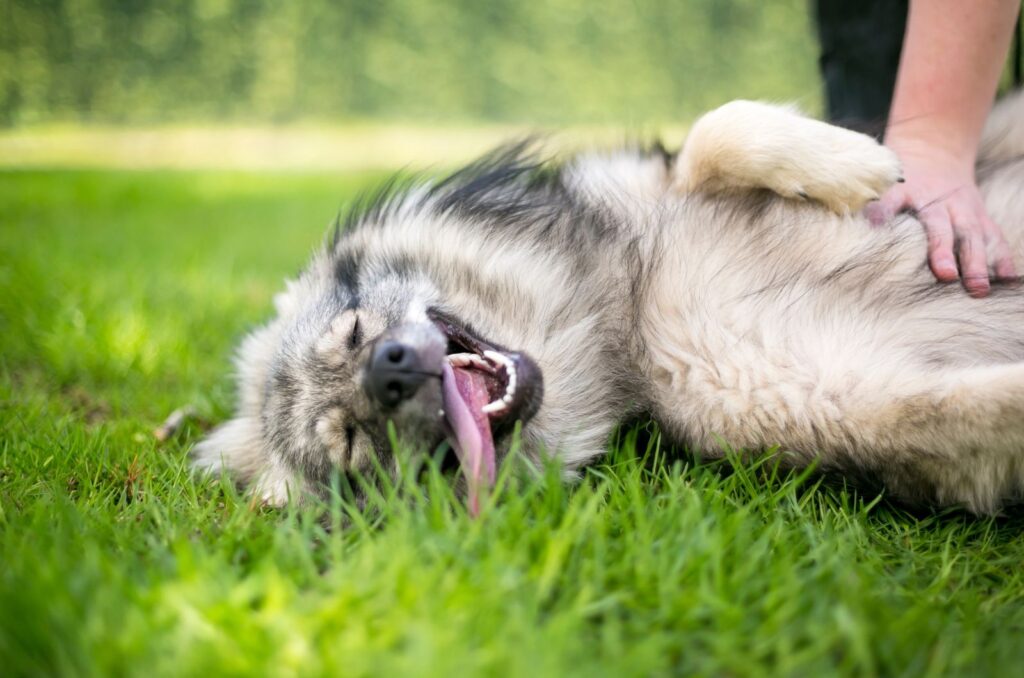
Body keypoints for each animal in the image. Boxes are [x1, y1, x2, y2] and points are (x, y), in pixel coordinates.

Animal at [192, 95, 1024, 518]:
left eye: (356, 331)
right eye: (351, 443)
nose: (391, 371)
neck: (623, 306)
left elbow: (716, 130)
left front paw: (853, 161)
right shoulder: (842, 398)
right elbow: (972, 410)